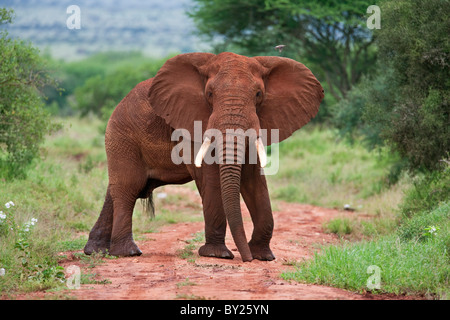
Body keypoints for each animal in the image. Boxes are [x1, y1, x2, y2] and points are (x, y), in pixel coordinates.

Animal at [83, 52, 324, 262]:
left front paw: (263, 257)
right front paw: (218, 254)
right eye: (209, 94)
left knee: (116, 189)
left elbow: (254, 180)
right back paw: (127, 253)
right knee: (128, 187)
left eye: (258, 95)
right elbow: (211, 178)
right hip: (121, 135)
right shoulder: (191, 124)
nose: (245, 259)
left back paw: (96, 251)